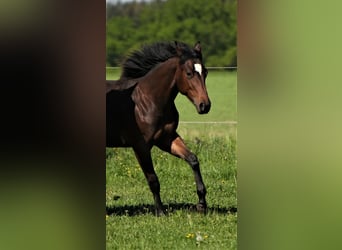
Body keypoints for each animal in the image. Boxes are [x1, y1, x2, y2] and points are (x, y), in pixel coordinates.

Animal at [106, 41, 211, 215]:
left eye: (206, 72)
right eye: (189, 73)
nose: (205, 106)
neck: (148, 100)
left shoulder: (166, 139)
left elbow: (193, 159)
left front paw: (201, 204)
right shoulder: (141, 146)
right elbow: (153, 179)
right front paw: (160, 212)